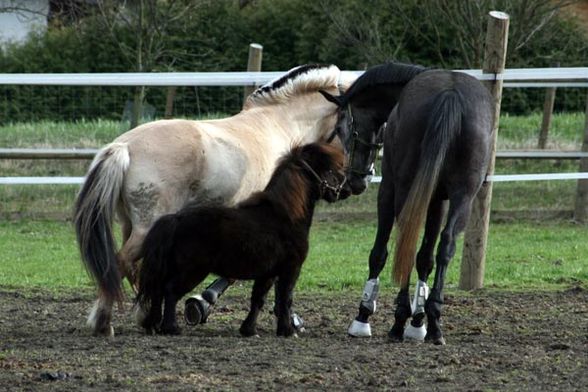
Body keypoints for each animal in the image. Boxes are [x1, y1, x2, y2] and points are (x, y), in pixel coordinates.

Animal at [135, 143, 346, 336]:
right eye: (329, 170)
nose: (343, 189)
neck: (285, 216)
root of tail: (176, 219)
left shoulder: (268, 273)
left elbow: (258, 300)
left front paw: (249, 330)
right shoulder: (290, 269)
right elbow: (285, 299)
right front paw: (287, 330)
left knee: (158, 291)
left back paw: (153, 325)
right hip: (192, 271)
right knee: (170, 291)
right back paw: (171, 328)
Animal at [320, 62, 494, 344]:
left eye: (341, 129)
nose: (355, 180)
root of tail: (451, 94)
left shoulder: (389, 191)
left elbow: (380, 253)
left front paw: (364, 316)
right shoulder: (437, 200)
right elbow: (426, 257)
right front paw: (419, 320)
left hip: (403, 189)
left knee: (405, 245)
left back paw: (399, 320)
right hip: (463, 196)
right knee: (445, 245)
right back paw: (434, 321)